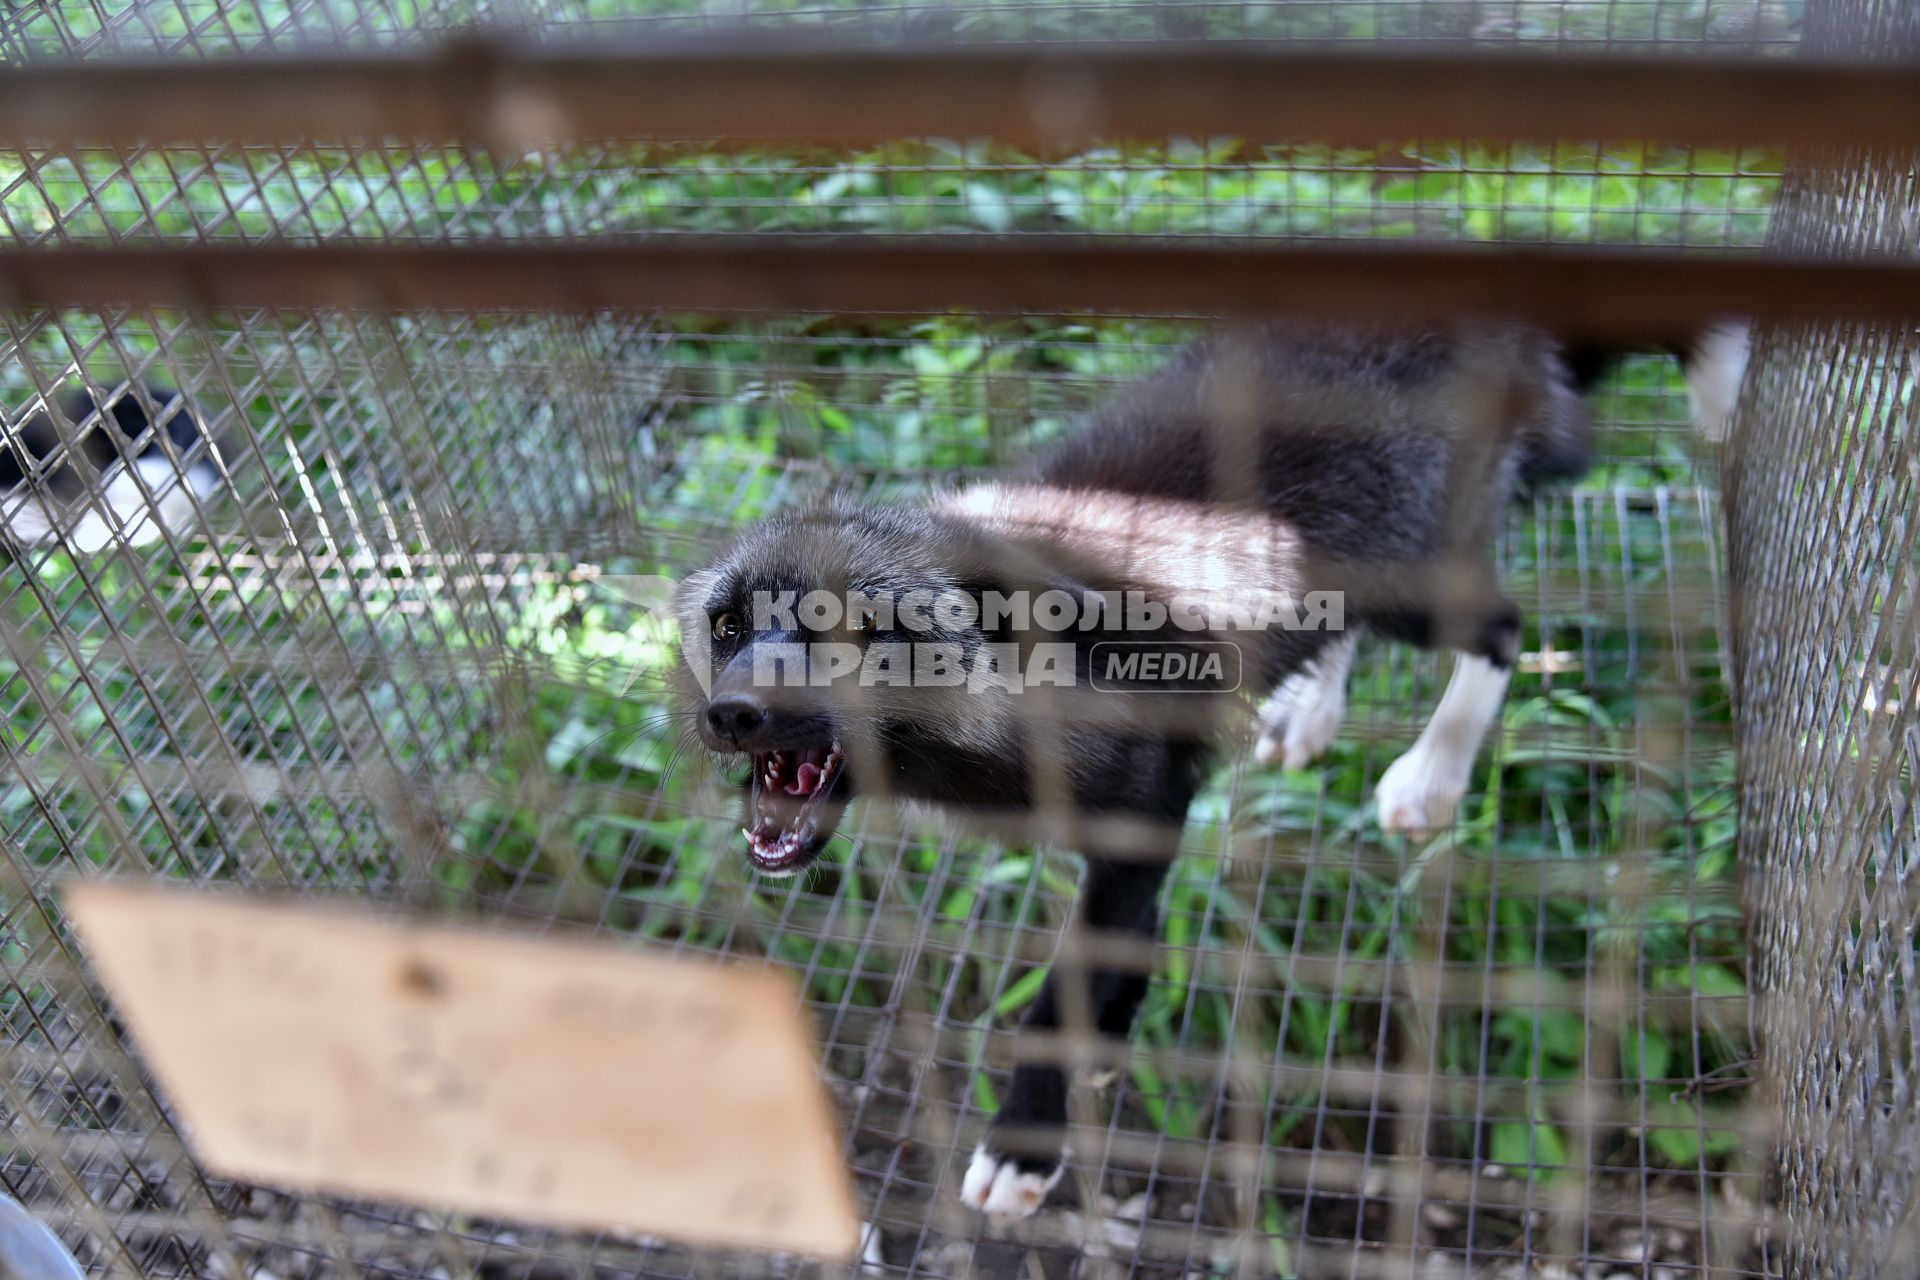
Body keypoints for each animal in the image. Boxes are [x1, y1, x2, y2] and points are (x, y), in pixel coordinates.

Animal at [675, 320, 1743, 1220]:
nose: (730, 714)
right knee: (1345, 632)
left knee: (1503, 631)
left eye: (857, 631)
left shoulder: (1146, 804)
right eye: (728, 627)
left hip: (1412, 590)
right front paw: (1113, 1031)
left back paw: (1429, 775)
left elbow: (1074, 980)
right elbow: (1122, 941)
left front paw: (1026, 1141)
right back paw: (1310, 711)